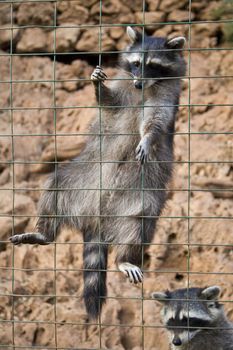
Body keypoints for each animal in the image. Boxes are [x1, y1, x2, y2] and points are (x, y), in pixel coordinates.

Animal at [10, 26, 187, 318]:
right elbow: (110, 102)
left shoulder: (166, 97)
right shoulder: (124, 87)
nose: (138, 84)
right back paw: (44, 232)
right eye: (136, 64)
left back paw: (125, 258)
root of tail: (97, 217)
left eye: (153, 66)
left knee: (140, 224)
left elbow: (155, 122)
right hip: (79, 179)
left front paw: (147, 138)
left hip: (143, 196)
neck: (144, 89)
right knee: (54, 186)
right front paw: (97, 85)